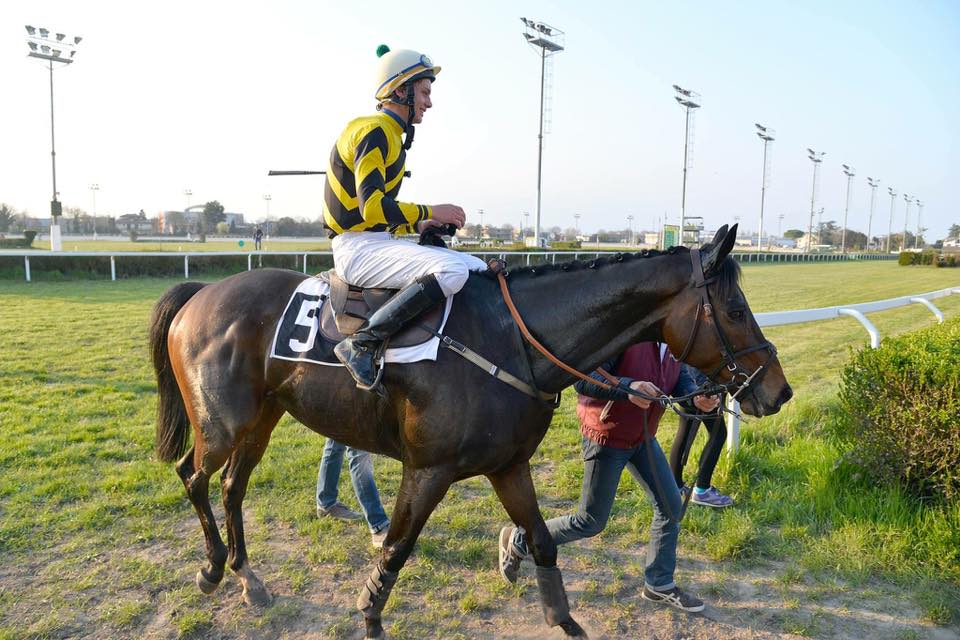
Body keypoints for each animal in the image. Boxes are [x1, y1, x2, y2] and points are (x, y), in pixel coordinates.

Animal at [150, 224, 792, 636]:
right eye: (736, 310)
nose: (778, 390)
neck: (510, 340)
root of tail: (202, 293)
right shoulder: (428, 470)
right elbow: (396, 549)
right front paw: (371, 615)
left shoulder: (509, 465)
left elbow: (542, 541)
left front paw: (563, 618)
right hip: (222, 424)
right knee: (194, 477)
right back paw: (212, 569)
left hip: (262, 419)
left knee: (231, 487)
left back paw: (246, 577)